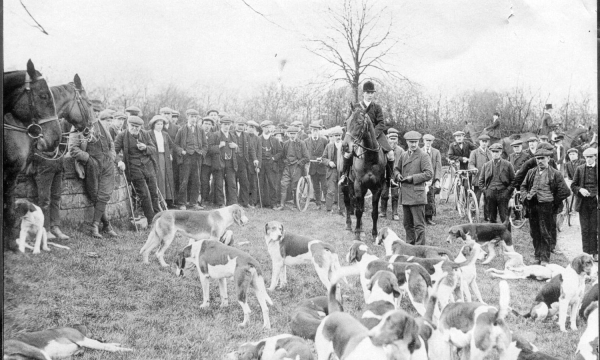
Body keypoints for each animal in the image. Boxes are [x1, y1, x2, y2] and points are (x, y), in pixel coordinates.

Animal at [342, 104, 384, 240]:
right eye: (347, 122)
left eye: (359, 122)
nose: (345, 146)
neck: (370, 159)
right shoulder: (358, 185)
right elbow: (359, 211)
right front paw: (356, 234)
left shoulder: (377, 188)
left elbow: (374, 212)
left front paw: (374, 234)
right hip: (347, 186)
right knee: (348, 203)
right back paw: (349, 225)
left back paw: (360, 228)